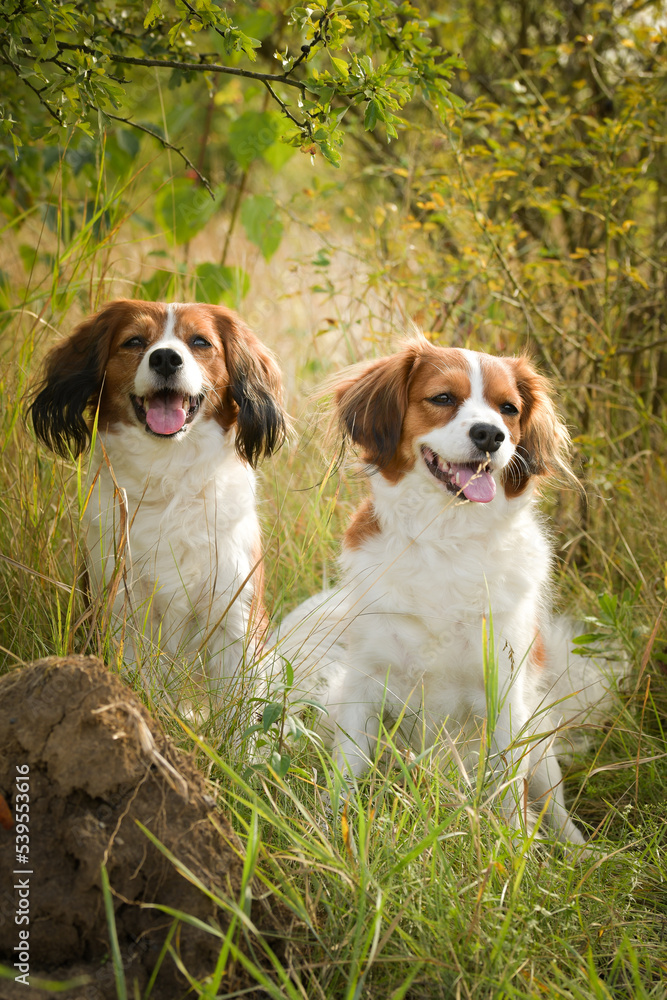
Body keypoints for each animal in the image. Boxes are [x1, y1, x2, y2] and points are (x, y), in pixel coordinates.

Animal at [29, 300, 288, 708]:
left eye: (200, 341)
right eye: (134, 341)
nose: (166, 358)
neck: (169, 470)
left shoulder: (234, 615)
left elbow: (236, 708)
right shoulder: (121, 609)